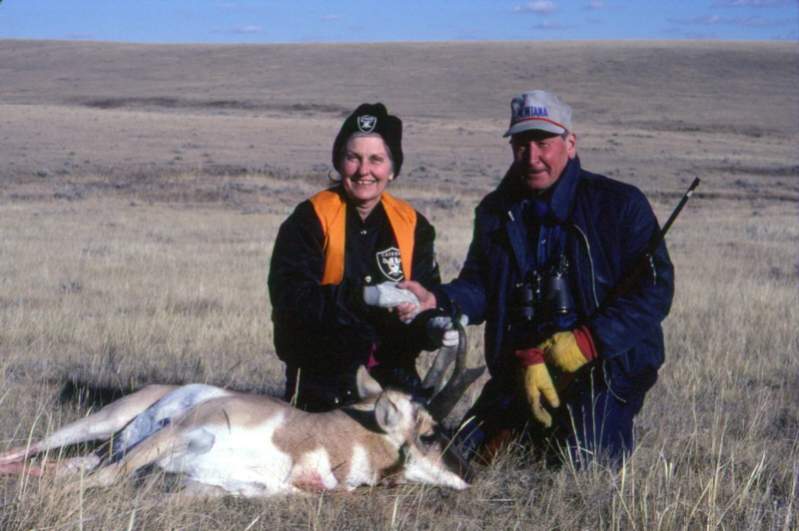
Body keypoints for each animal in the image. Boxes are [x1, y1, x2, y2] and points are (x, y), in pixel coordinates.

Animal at [0, 318, 484, 496]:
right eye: (430, 433)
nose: (472, 475)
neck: (306, 439)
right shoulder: (180, 431)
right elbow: (104, 481)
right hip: (102, 424)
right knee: (35, 452)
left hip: (109, 444)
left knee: (66, 466)